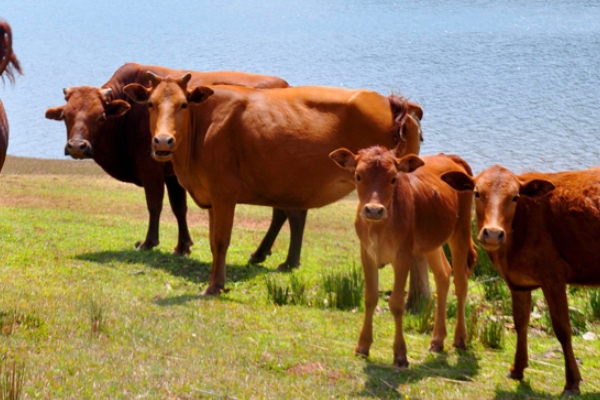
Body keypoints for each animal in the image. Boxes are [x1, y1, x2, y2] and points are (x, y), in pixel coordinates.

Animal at [45, 60, 308, 260]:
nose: (77, 146)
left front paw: (149, 242)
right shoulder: (172, 174)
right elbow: (179, 207)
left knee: (289, 213)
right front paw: (183, 246)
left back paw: (281, 259)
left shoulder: (151, 169)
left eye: (100, 117)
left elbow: (155, 205)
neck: (131, 115)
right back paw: (269, 255)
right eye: (66, 116)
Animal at [122, 73, 422, 296]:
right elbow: (212, 241)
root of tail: (392, 101)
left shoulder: (224, 193)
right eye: (150, 104)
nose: (163, 141)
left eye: (184, 104)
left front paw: (215, 286)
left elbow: (220, 240)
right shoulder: (211, 197)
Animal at [328, 148, 474, 368]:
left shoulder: (403, 256)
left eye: (393, 178)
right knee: (443, 276)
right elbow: (370, 298)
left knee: (461, 282)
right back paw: (437, 340)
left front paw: (400, 355)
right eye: (358, 176)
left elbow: (397, 304)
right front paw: (362, 346)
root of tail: (450, 157)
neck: (378, 228)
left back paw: (460, 339)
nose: (373, 210)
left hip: (461, 232)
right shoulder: (367, 254)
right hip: (431, 242)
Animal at [440, 164, 600, 396]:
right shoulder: (518, 283)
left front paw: (572, 382)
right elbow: (520, 321)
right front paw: (517, 369)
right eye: (477, 193)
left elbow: (562, 329)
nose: (493, 234)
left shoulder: (553, 278)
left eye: (515, 197)